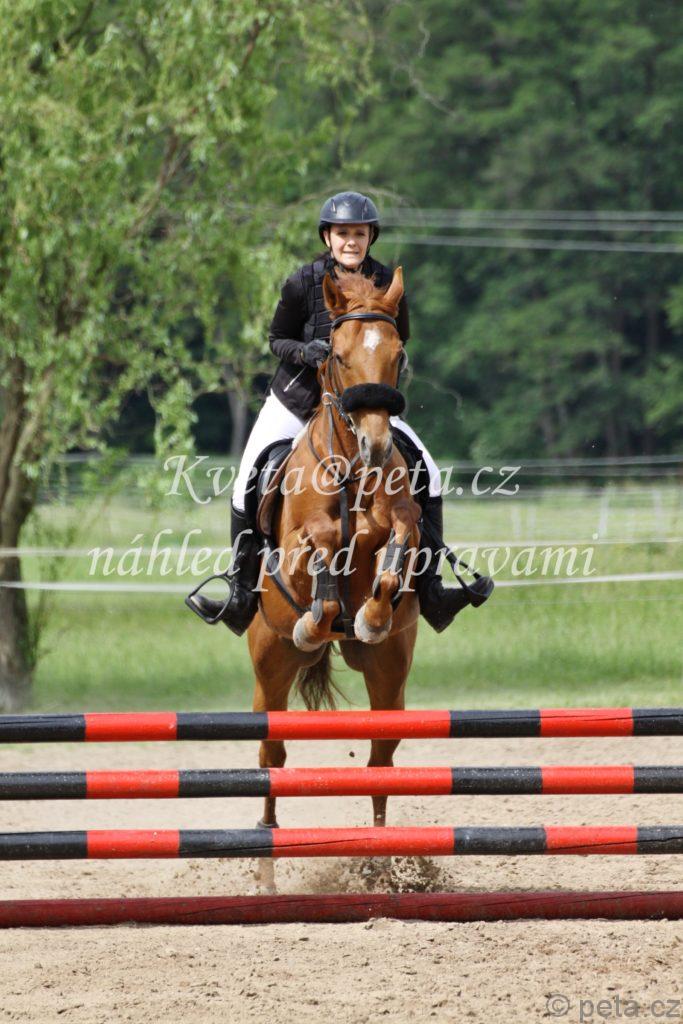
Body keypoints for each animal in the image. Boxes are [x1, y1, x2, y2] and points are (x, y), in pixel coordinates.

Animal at [249, 266, 423, 830]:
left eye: (397, 354)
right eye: (339, 356)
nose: (376, 445)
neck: (352, 471)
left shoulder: (405, 526)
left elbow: (398, 543)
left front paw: (371, 614)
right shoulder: (294, 547)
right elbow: (323, 544)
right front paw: (315, 618)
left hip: (389, 671)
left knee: (380, 758)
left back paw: (381, 843)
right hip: (269, 662)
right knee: (272, 752)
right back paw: (265, 836)